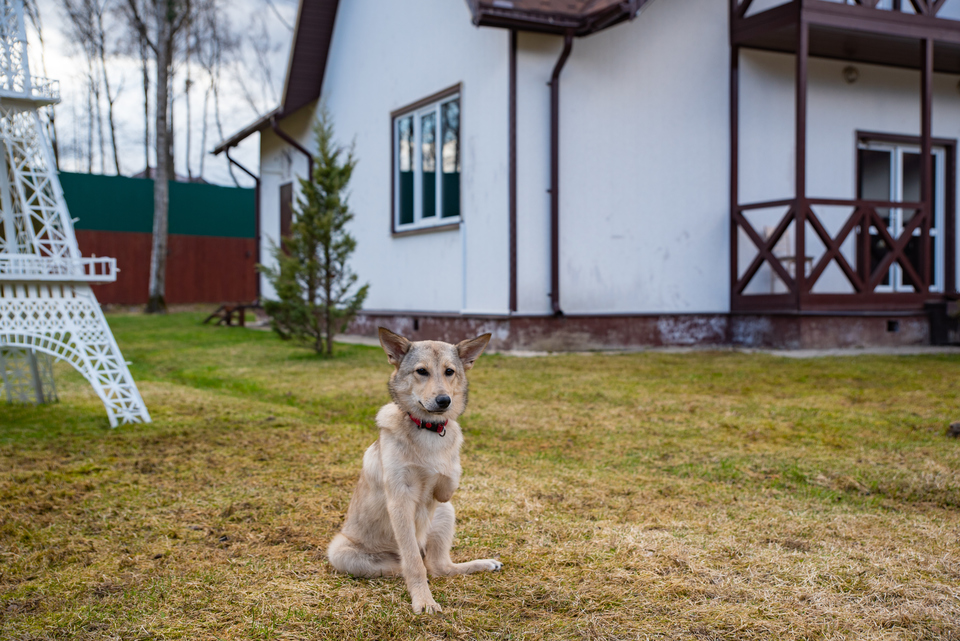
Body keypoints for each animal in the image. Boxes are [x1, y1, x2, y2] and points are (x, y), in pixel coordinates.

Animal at [326, 328, 502, 612]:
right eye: (421, 371)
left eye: (449, 371)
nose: (444, 400)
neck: (428, 428)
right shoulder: (400, 500)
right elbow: (414, 565)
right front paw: (423, 600)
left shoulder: (444, 492)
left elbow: (448, 473)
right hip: (342, 551)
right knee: (416, 565)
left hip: (445, 512)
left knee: (440, 566)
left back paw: (483, 564)